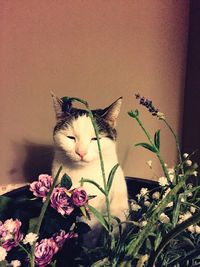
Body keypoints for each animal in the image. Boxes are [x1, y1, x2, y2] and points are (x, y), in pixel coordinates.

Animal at [50, 94, 129, 247]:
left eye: (94, 139)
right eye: (70, 137)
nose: (81, 152)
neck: (82, 174)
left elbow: (90, 237)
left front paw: (85, 250)